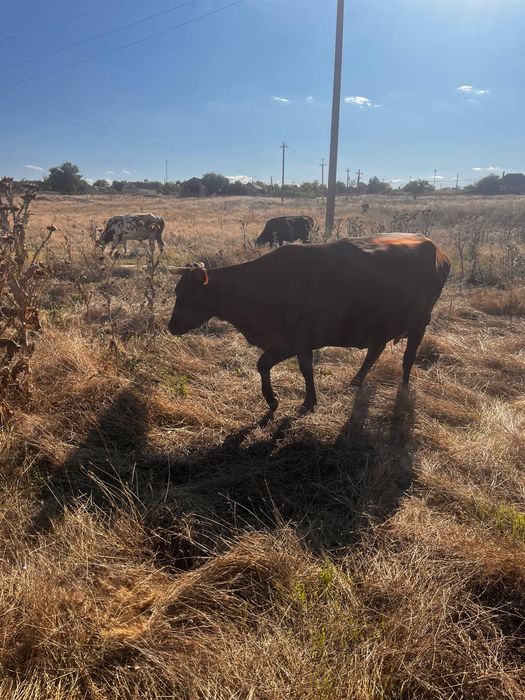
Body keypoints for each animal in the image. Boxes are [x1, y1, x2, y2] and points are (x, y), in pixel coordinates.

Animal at [168, 233, 450, 414]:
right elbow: (270, 365)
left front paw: (300, 402)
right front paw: (277, 400)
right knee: (375, 350)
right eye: (176, 291)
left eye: (187, 296)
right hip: (382, 324)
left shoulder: (298, 340)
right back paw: (356, 381)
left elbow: (296, 369)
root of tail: (436, 249)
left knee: (408, 357)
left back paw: (403, 388)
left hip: (420, 321)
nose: (171, 326)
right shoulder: (288, 342)